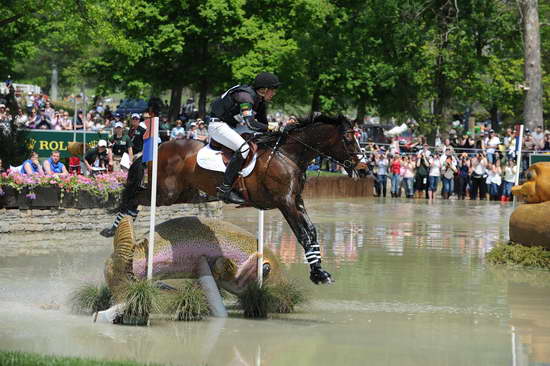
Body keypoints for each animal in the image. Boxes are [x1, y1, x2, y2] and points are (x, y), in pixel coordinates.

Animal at [102, 113, 362, 284]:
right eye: (349, 140)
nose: (363, 165)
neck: (288, 155)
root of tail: (160, 146)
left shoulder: (296, 200)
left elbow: (312, 232)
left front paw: (320, 271)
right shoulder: (284, 202)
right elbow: (303, 235)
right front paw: (317, 274)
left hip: (181, 193)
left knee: (135, 199)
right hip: (167, 193)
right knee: (133, 197)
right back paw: (113, 229)